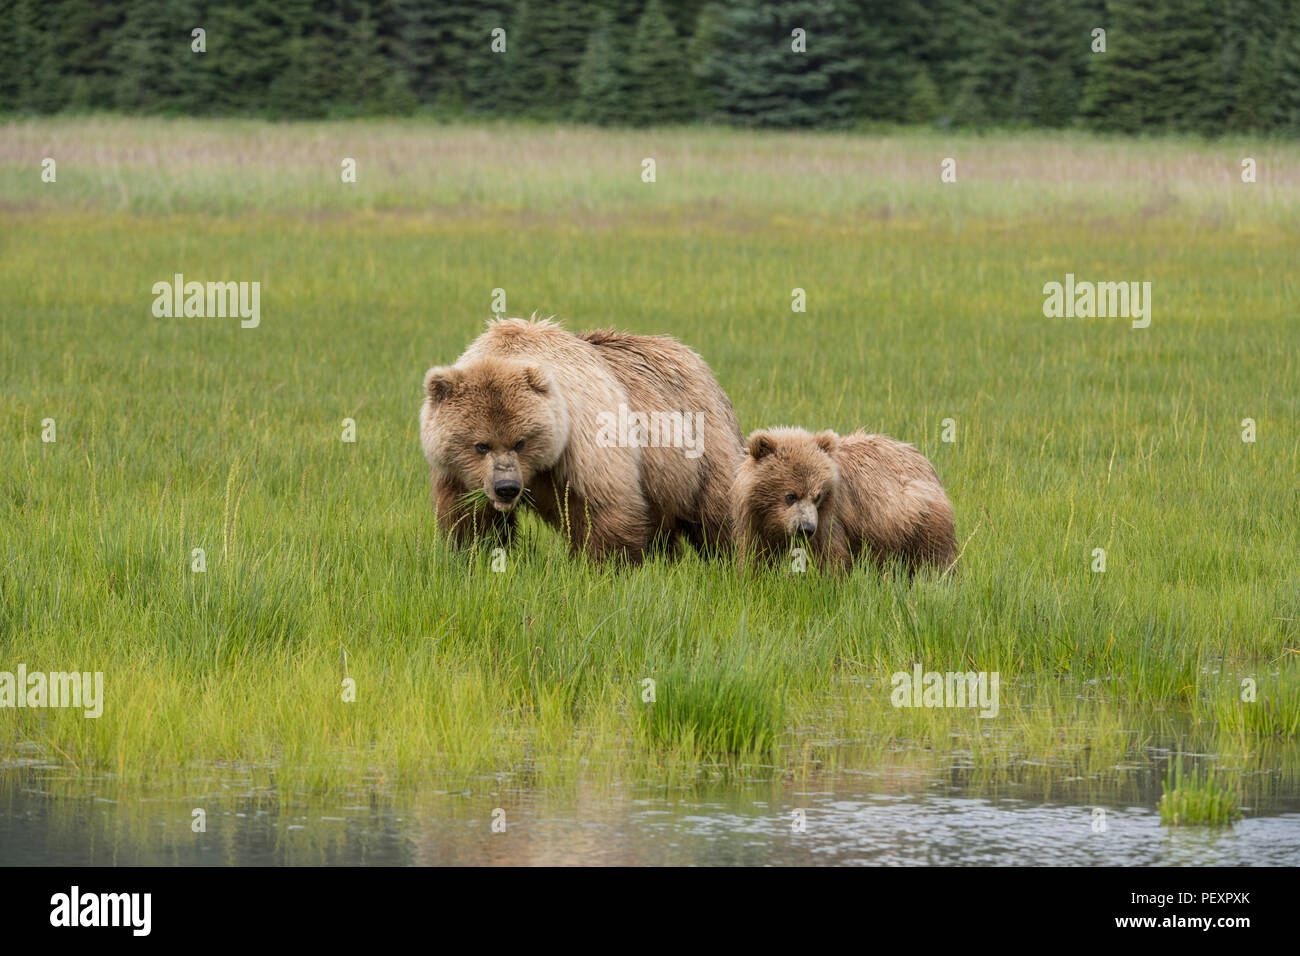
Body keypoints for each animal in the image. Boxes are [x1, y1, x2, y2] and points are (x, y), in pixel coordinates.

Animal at [420, 317, 745, 562]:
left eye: (521, 442)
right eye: (481, 445)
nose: (506, 488)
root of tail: (696, 360)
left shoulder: (585, 441)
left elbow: (604, 507)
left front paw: (606, 566)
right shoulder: (457, 475)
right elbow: (470, 518)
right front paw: (474, 553)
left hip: (701, 445)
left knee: (718, 512)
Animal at [731, 426, 957, 573]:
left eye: (817, 496)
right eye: (791, 495)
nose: (806, 528)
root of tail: (923, 460)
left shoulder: (830, 515)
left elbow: (831, 555)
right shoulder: (756, 519)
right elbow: (756, 554)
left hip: (917, 518)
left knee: (935, 559)